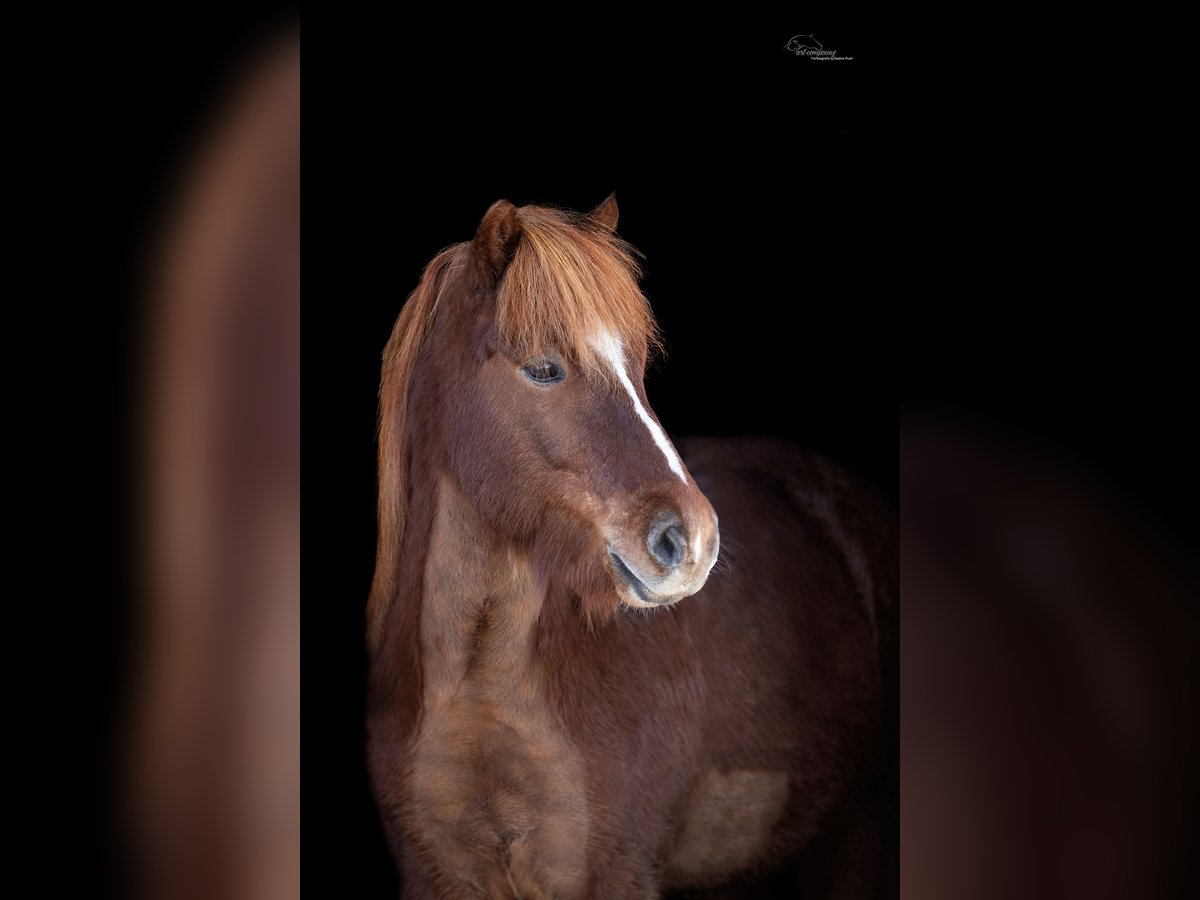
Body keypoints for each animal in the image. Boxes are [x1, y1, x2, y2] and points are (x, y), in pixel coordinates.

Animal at [362, 199, 892, 900]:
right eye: (544, 368)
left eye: (636, 368)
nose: (693, 540)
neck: (481, 691)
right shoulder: (433, 878)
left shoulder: (617, 873)